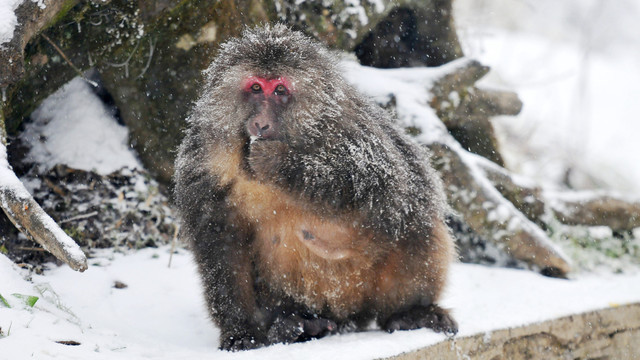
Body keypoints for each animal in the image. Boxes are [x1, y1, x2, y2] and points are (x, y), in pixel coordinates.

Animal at [172, 23, 458, 350]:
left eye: (280, 90)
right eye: (256, 88)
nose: (261, 124)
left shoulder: (354, 134)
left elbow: (387, 188)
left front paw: (282, 163)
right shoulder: (202, 160)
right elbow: (220, 242)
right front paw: (240, 330)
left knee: (416, 217)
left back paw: (409, 313)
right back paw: (295, 326)